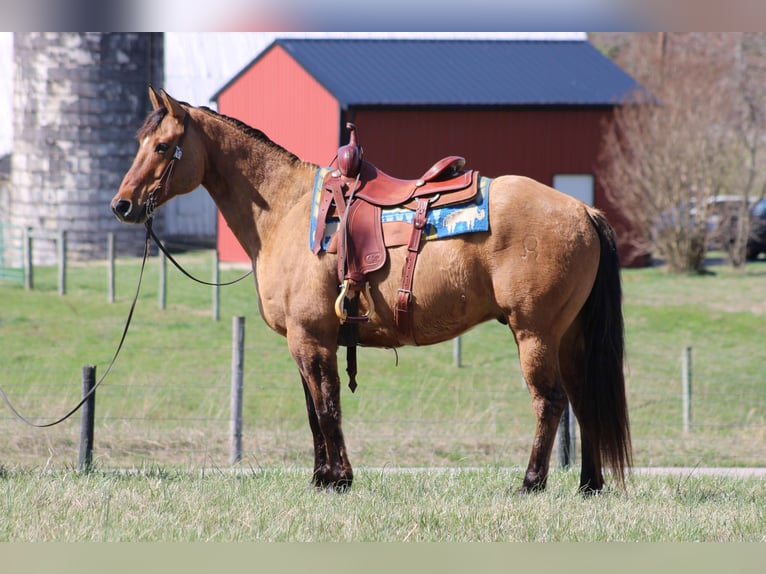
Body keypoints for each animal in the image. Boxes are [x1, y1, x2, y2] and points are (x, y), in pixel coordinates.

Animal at [111, 88, 632, 498]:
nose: (122, 205)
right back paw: (589, 484)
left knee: (550, 401)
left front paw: (339, 478)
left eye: (162, 146)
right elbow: (313, 409)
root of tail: (582, 210)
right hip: (569, 337)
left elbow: (326, 406)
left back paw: (530, 482)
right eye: (140, 143)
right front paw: (321, 477)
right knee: (583, 400)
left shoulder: (311, 337)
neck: (286, 209)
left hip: (535, 334)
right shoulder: (307, 340)